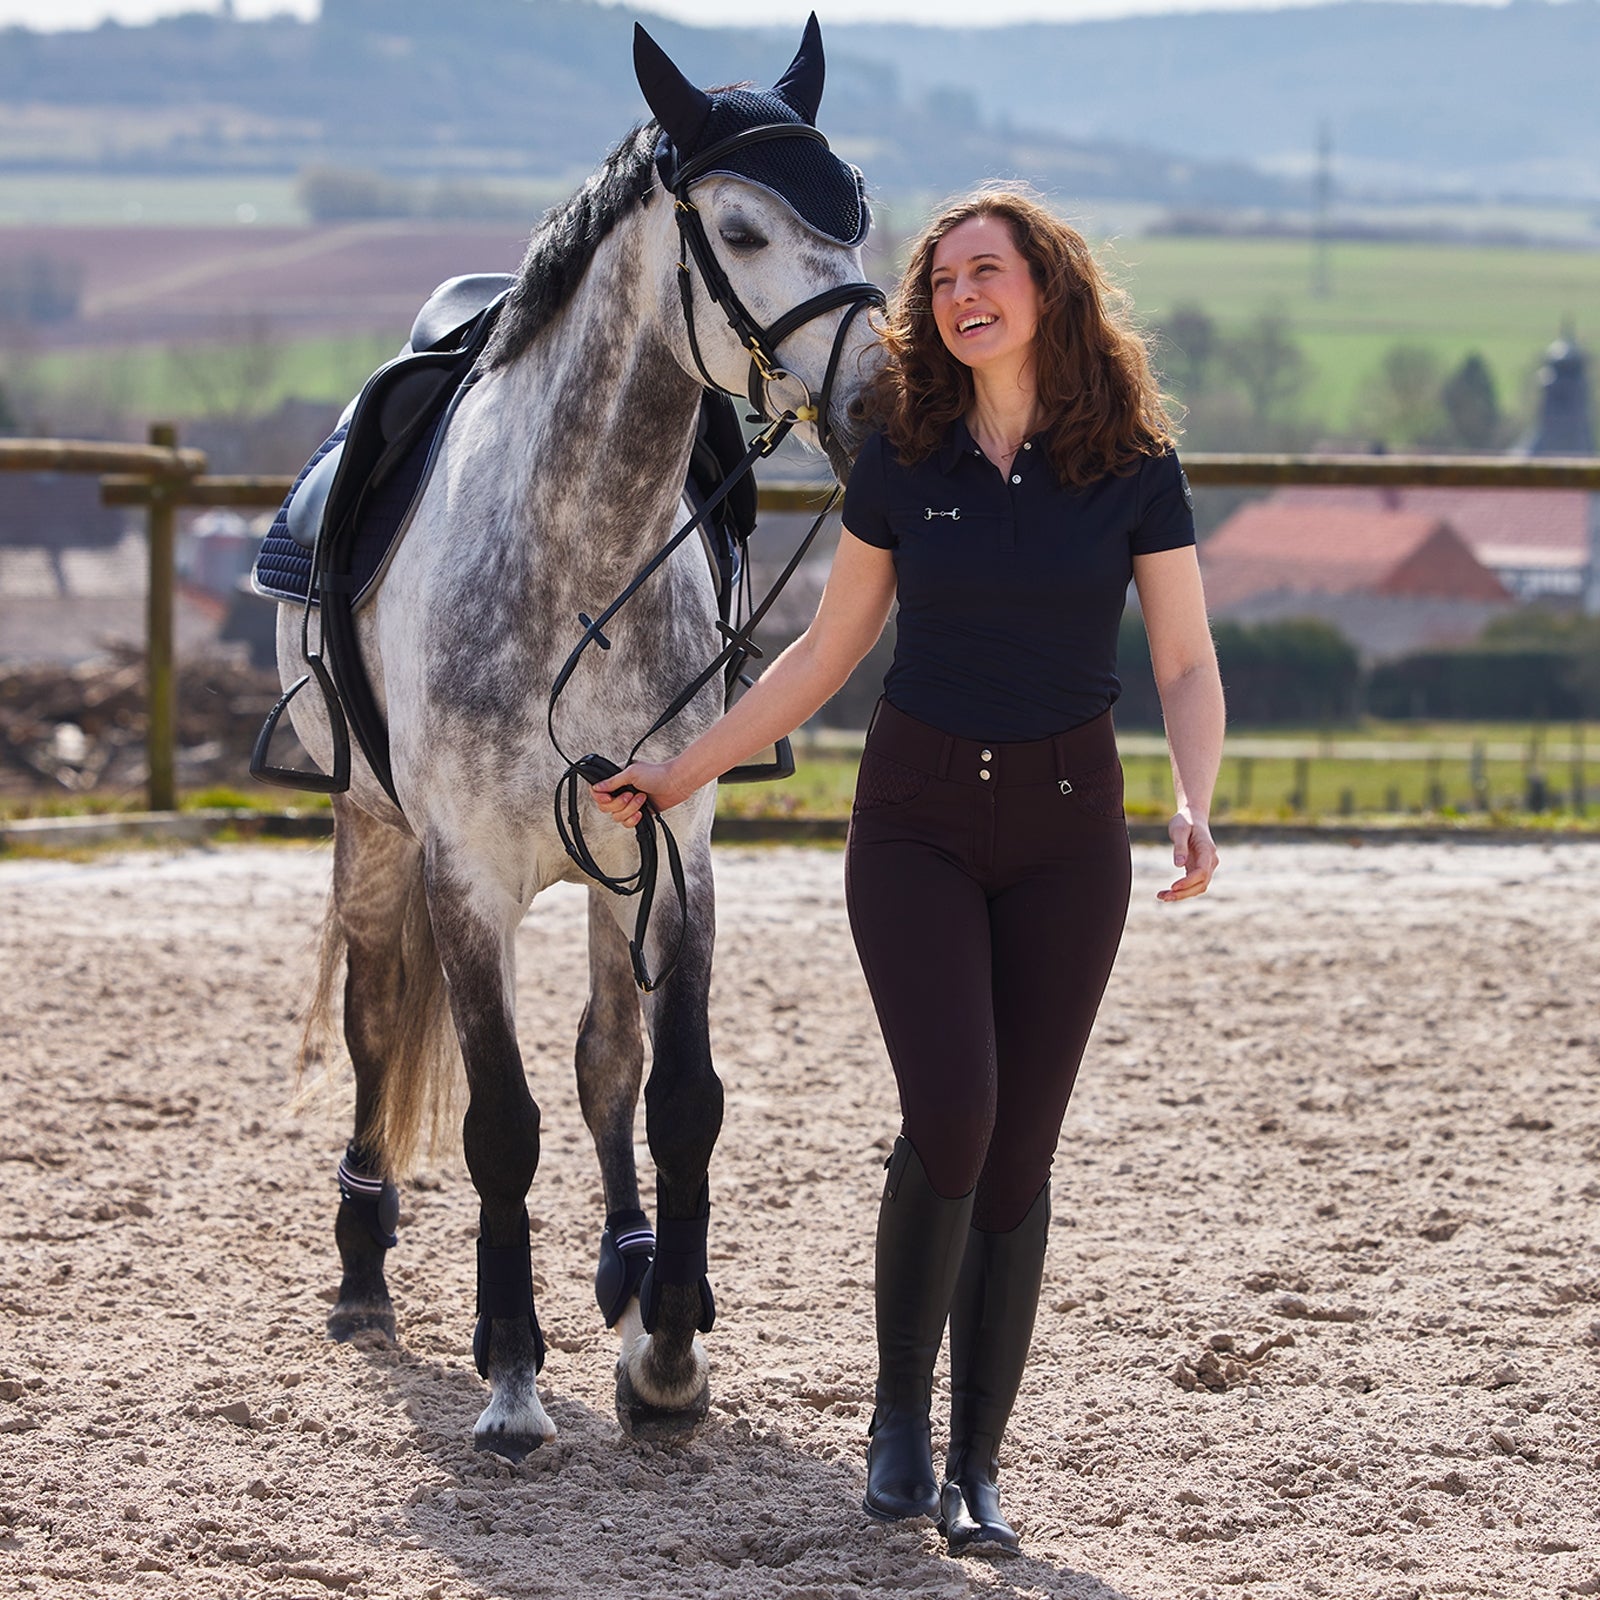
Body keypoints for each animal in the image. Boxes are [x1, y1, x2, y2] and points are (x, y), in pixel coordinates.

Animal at [271, 17, 882, 1458]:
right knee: (376, 1027)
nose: (888, 394)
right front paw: (509, 1369)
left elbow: (676, 1094)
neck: (579, 556)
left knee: (611, 1059)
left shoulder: (677, 848)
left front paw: (665, 1345)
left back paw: (628, 1264)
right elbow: (501, 1124)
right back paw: (364, 1266)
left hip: (612, 872)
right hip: (372, 835)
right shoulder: (465, 879)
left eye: (857, 211)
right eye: (742, 228)